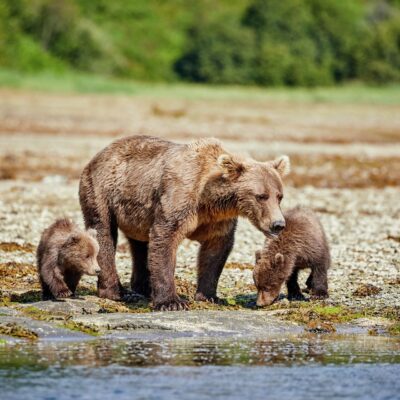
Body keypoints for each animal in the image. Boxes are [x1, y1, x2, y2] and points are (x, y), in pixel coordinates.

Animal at [79, 136, 290, 310]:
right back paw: (116, 291)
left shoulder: (218, 220)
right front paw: (171, 302)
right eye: (261, 196)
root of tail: (98, 155)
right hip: (101, 191)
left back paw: (143, 288)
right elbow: (164, 239)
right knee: (103, 233)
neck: (209, 200)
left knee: (140, 245)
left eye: (279, 196)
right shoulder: (180, 199)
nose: (278, 224)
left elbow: (216, 251)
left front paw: (210, 296)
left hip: (136, 213)